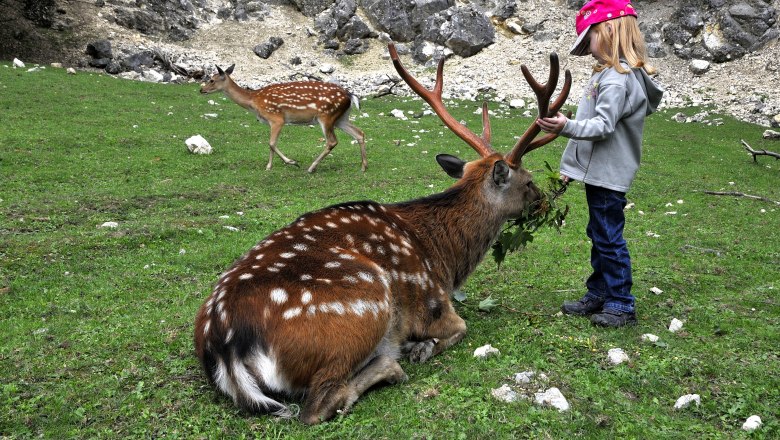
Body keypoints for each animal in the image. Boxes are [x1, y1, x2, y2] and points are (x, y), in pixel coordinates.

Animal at [199, 64, 367, 173]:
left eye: (212, 80)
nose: (201, 90)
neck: (254, 101)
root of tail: (349, 95)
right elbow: (271, 144)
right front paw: (269, 166)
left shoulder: (277, 118)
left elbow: (271, 143)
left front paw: (291, 162)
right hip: (340, 118)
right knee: (359, 133)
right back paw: (363, 166)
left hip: (326, 116)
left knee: (332, 141)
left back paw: (311, 168)